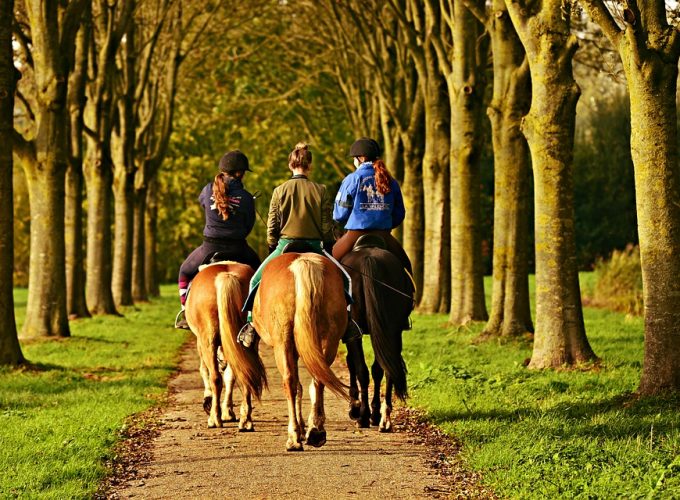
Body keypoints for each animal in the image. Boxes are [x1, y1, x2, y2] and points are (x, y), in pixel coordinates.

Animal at [187, 262, 270, 430]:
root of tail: (226, 276)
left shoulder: (200, 342)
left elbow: (204, 370)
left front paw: (209, 402)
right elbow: (230, 376)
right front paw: (228, 411)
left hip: (207, 340)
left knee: (215, 377)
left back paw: (214, 419)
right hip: (246, 342)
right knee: (245, 373)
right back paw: (246, 420)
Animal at [231, 252, 348, 452]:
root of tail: (303, 262)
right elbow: (303, 386)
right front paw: (304, 428)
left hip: (282, 342)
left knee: (289, 382)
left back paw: (293, 438)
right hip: (329, 340)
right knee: (318, 380)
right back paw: (316, 431)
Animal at [342, 240, 412, 432]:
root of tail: (369, 259)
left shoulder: (351, 335)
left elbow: (352, 363)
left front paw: (355, 408)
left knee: (363, 371)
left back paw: (364, 416)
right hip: (392, 330)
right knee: (386, 368)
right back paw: (383, 417)